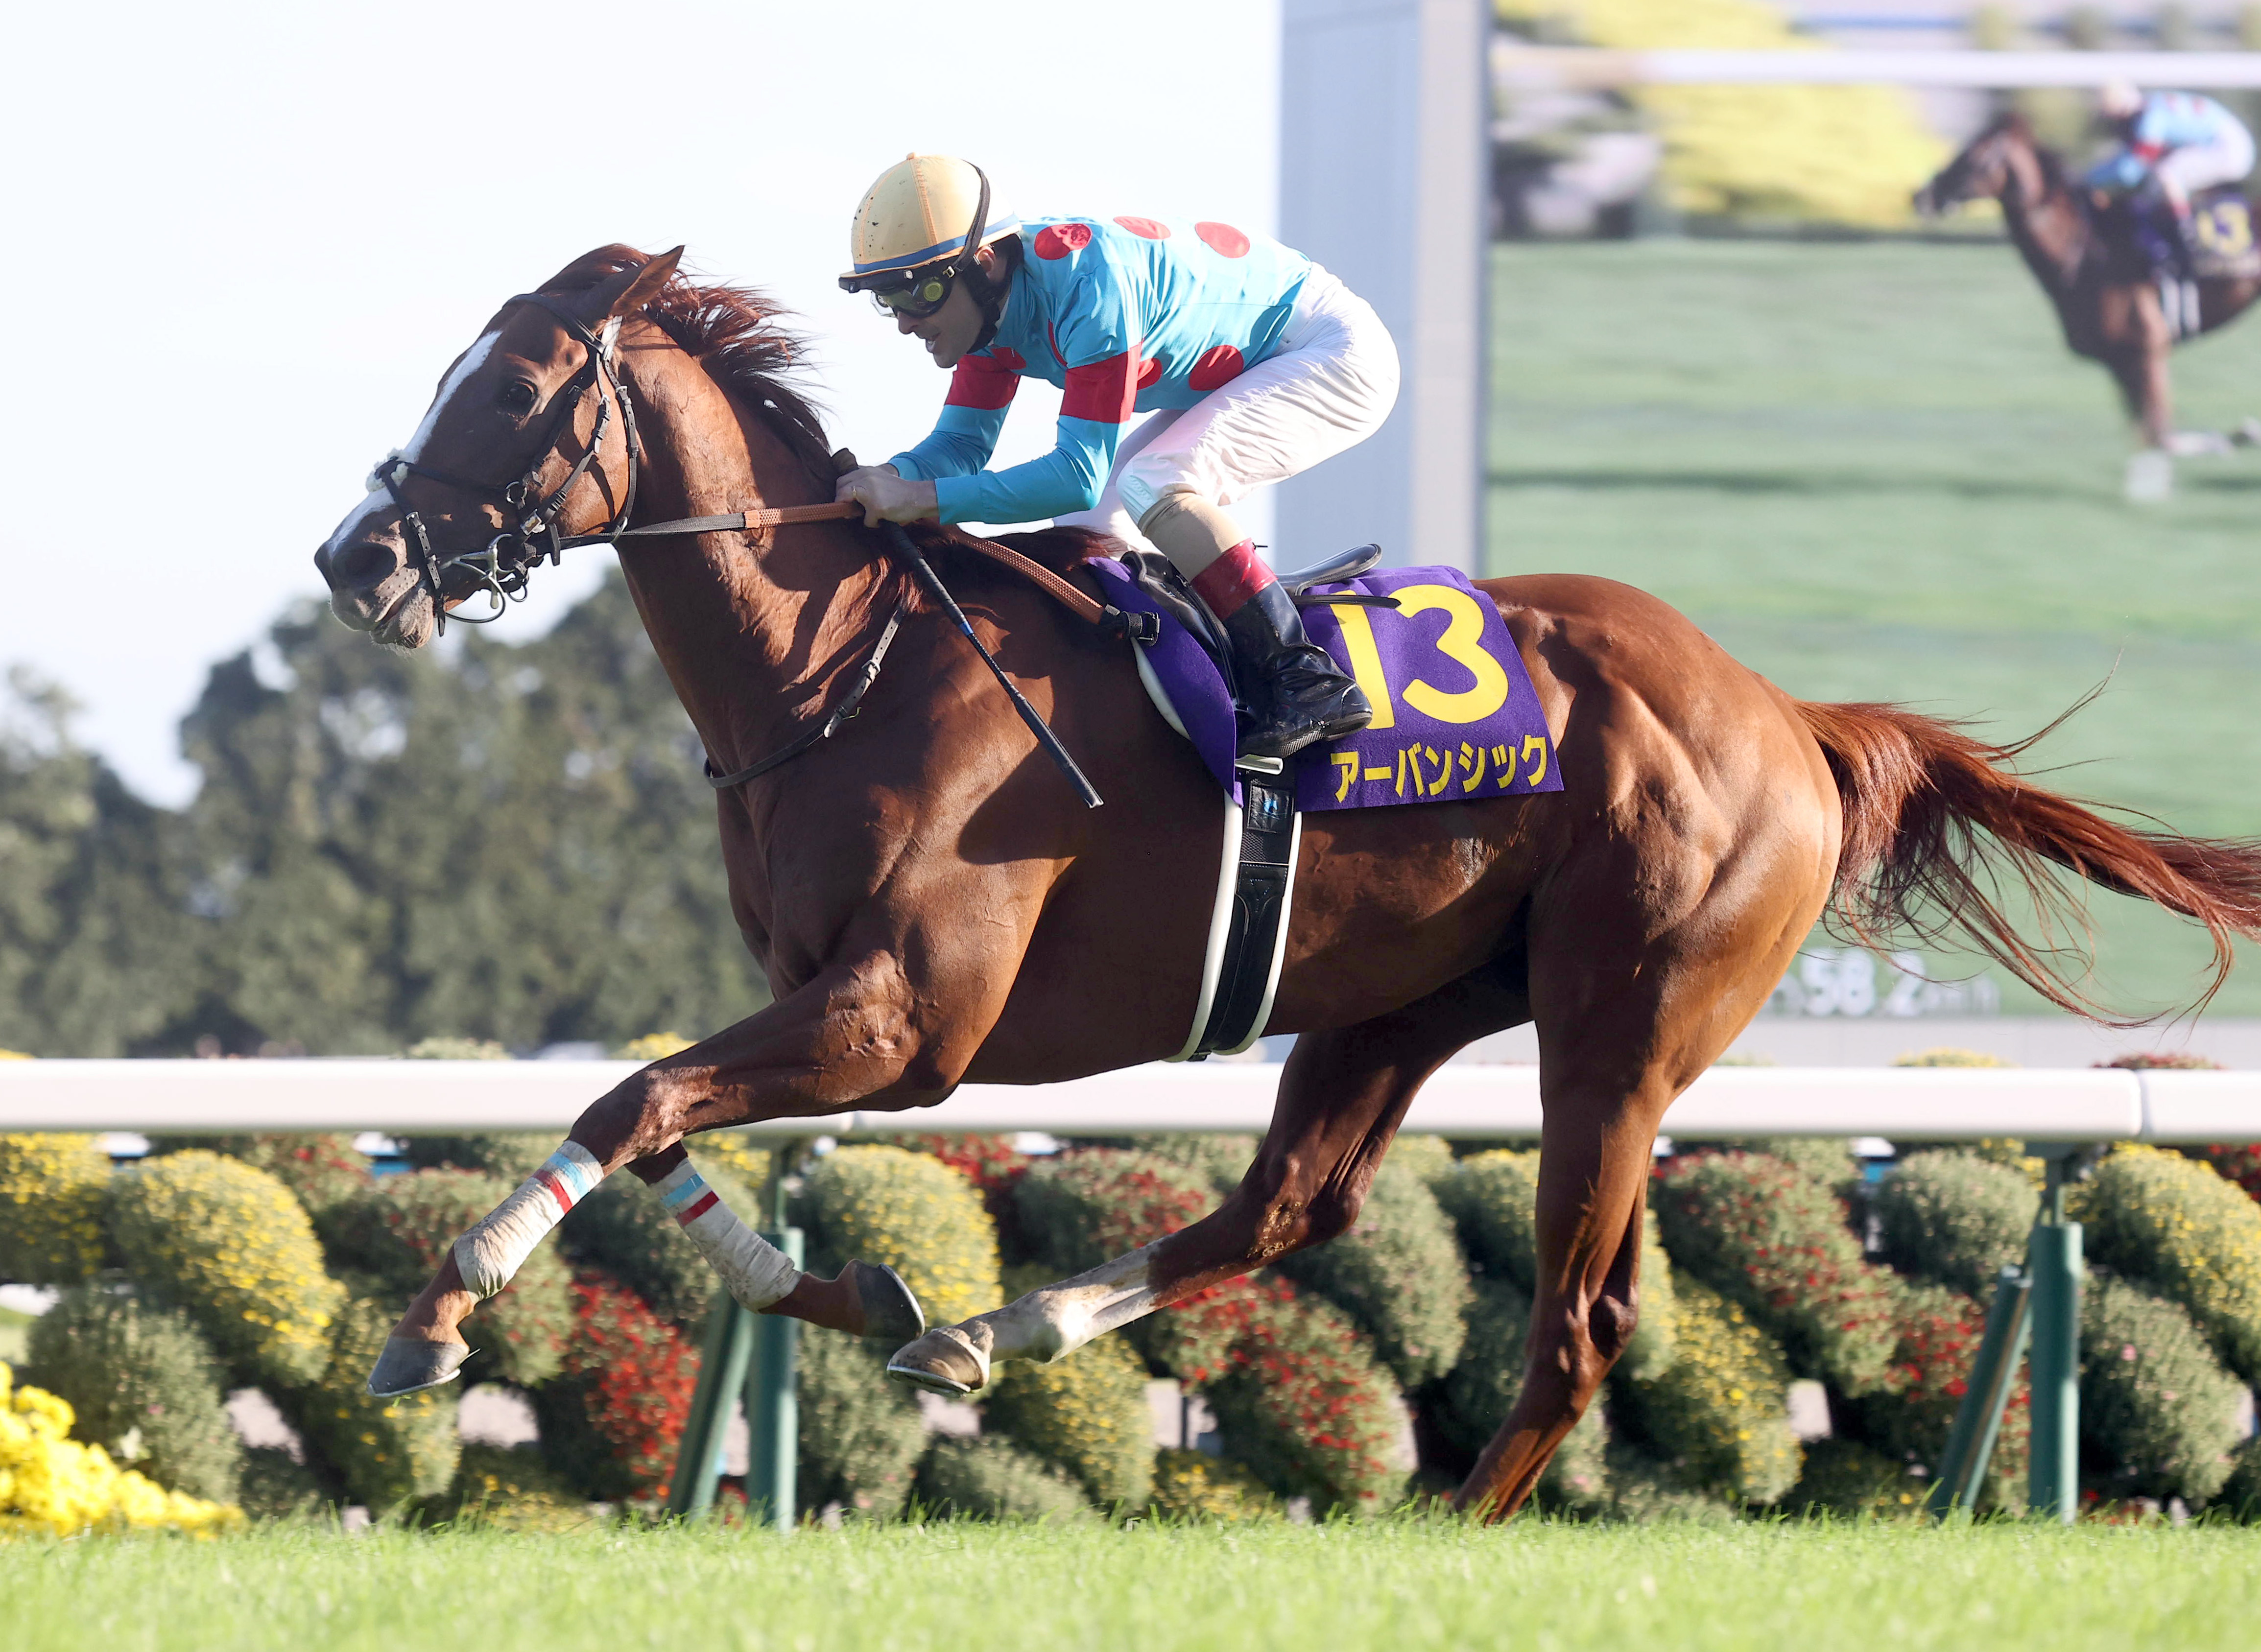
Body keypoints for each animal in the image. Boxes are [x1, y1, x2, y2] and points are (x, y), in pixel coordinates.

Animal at [314, 243, 2261, 1519]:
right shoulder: (827, 1000)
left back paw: (1447, 1523)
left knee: (1579, 1315)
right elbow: (657, 1118)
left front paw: (436, 1311)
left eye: (510, 388)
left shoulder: (906, 1021)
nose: (355, 556)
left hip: (1622, 1027)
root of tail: (1780, 709)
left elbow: (634, 1096)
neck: (840, 666)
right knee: (1284, 1209)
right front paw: (873, 1302)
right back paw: (1002, 1329)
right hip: (1390, 1001)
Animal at [1915, 111, 2261, 460]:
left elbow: (2160, 436)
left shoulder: (2147, 351)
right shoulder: (2120, 362)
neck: (2089, 250)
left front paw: (2240, 435)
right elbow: (2148, 434)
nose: (1921, 196)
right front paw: (2240, 434)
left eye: (1973, 155)